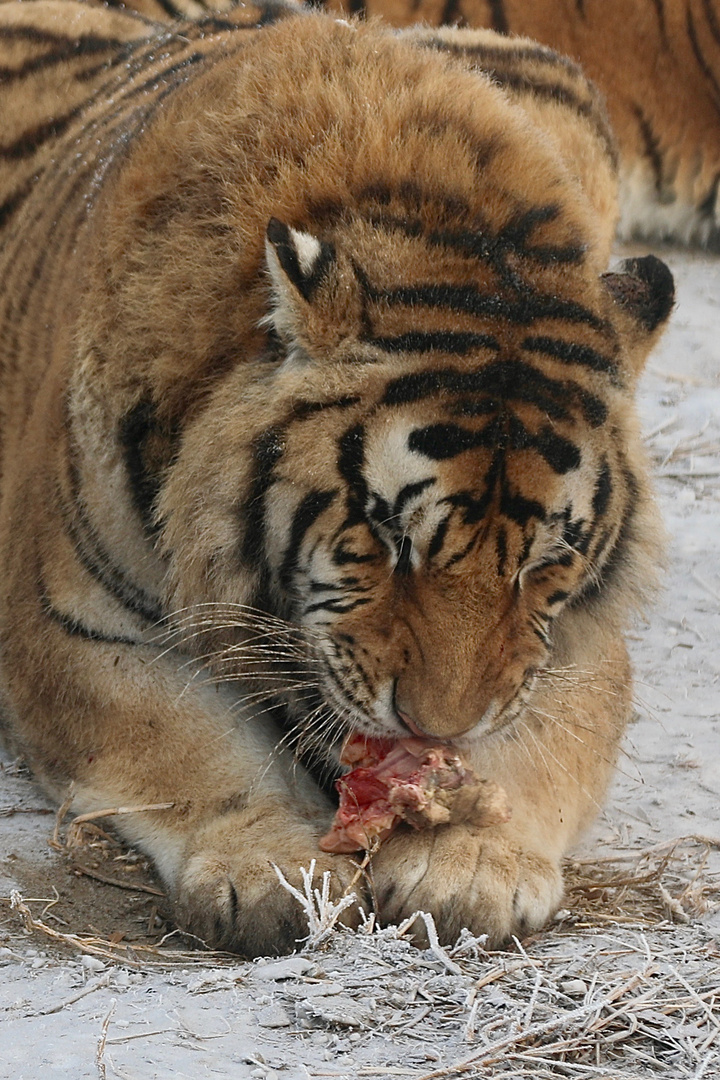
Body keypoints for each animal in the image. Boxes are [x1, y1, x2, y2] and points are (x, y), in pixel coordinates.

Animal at [0, 0, 677, 954]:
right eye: (389, 539)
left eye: (543, 565)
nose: (436, 728)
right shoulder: (74, 624)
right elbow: (184, 743)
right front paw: (266, 866)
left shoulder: (577, 643)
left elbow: (537, 732)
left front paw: (471, 863)